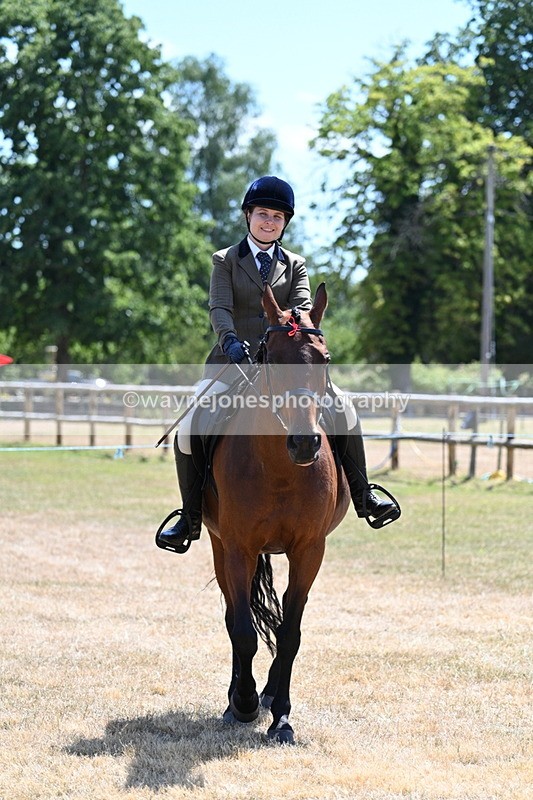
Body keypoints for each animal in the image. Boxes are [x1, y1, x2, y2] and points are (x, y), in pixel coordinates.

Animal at [202, 282, 351, 744]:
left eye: (324, 359)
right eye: (272, 357)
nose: (304, 443)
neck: (281, 468)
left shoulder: (310, 550)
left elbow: (289, 632)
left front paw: (281, 716)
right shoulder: (237, 548)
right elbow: (243, 630)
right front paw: (244, 703)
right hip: (219, 546)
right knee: (234, 617)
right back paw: (238, 699)